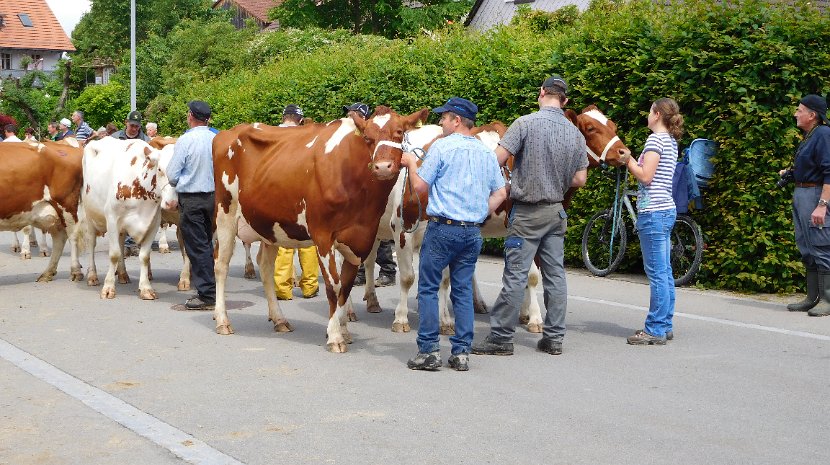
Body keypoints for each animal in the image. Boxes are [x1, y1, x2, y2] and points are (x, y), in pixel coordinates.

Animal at [80, 136, 180, 300]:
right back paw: (92, 276)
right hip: (89, 216)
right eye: (160, 169)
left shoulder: (153, 223)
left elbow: (144, 256)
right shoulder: (112, 219)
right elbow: (114, 254)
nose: (171, 203)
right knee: (91, 245)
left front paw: (145, 288)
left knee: (121, 243)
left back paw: (122, 274)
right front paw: (108, 288)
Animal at [214, 106, 428, 352]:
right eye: (367, 137)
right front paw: (335, 336)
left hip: (269, 226)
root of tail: (229, 132)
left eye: (399, 132)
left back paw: (279, 319)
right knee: (220, 265)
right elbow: (334, 285)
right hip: (225, 213)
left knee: (266, 268)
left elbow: (346, 286)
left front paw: (344, 331)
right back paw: (222, 320)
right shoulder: (323, 236)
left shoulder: (360, 238)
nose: (382, 167)